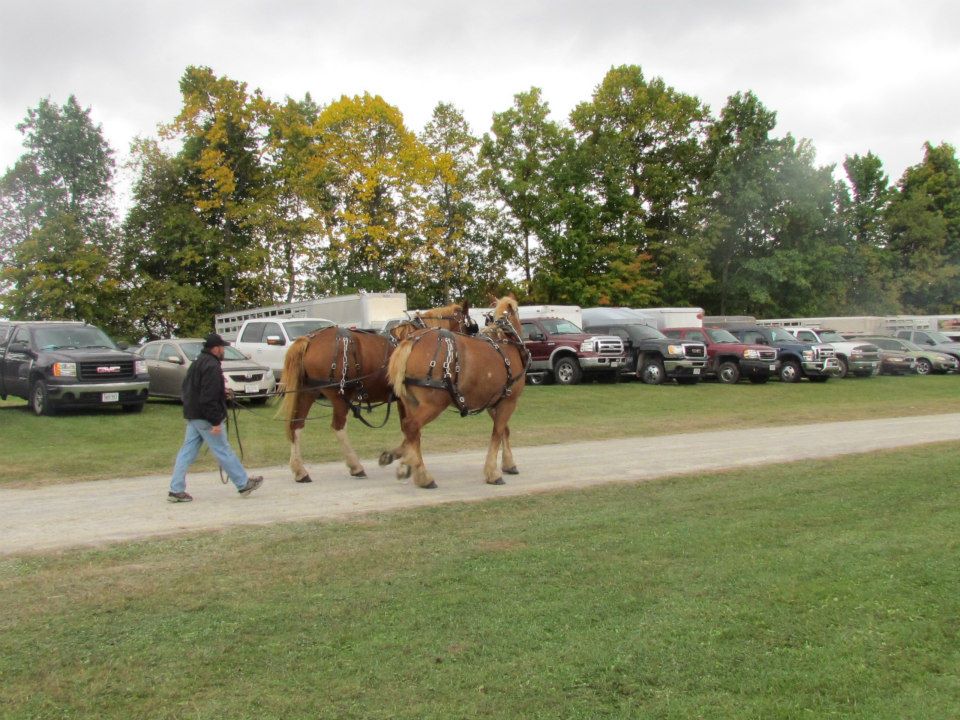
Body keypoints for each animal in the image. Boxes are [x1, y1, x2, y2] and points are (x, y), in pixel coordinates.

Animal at [278, 300, 476, 480]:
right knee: (338, 428)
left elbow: (409, 428)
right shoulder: (407, 400)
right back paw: (355, 466)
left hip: (308, 392)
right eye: (470, 327)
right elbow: (412, 429)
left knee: (297, 426)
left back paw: (300, 471)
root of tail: (310, 338)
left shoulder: (404, 401)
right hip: (339, 396)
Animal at [378, 294, 528, 490]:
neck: (507, 341)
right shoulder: (509, 401)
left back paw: (416, 469)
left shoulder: (493, 402)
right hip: (434, 403)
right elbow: (497, 432)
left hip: (410, 402)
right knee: (412, 426)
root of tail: (411, 341)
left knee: (411, 431)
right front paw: (493, 473)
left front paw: (508, 464)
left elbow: (504, 431)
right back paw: (422, 475)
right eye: (470, 325)